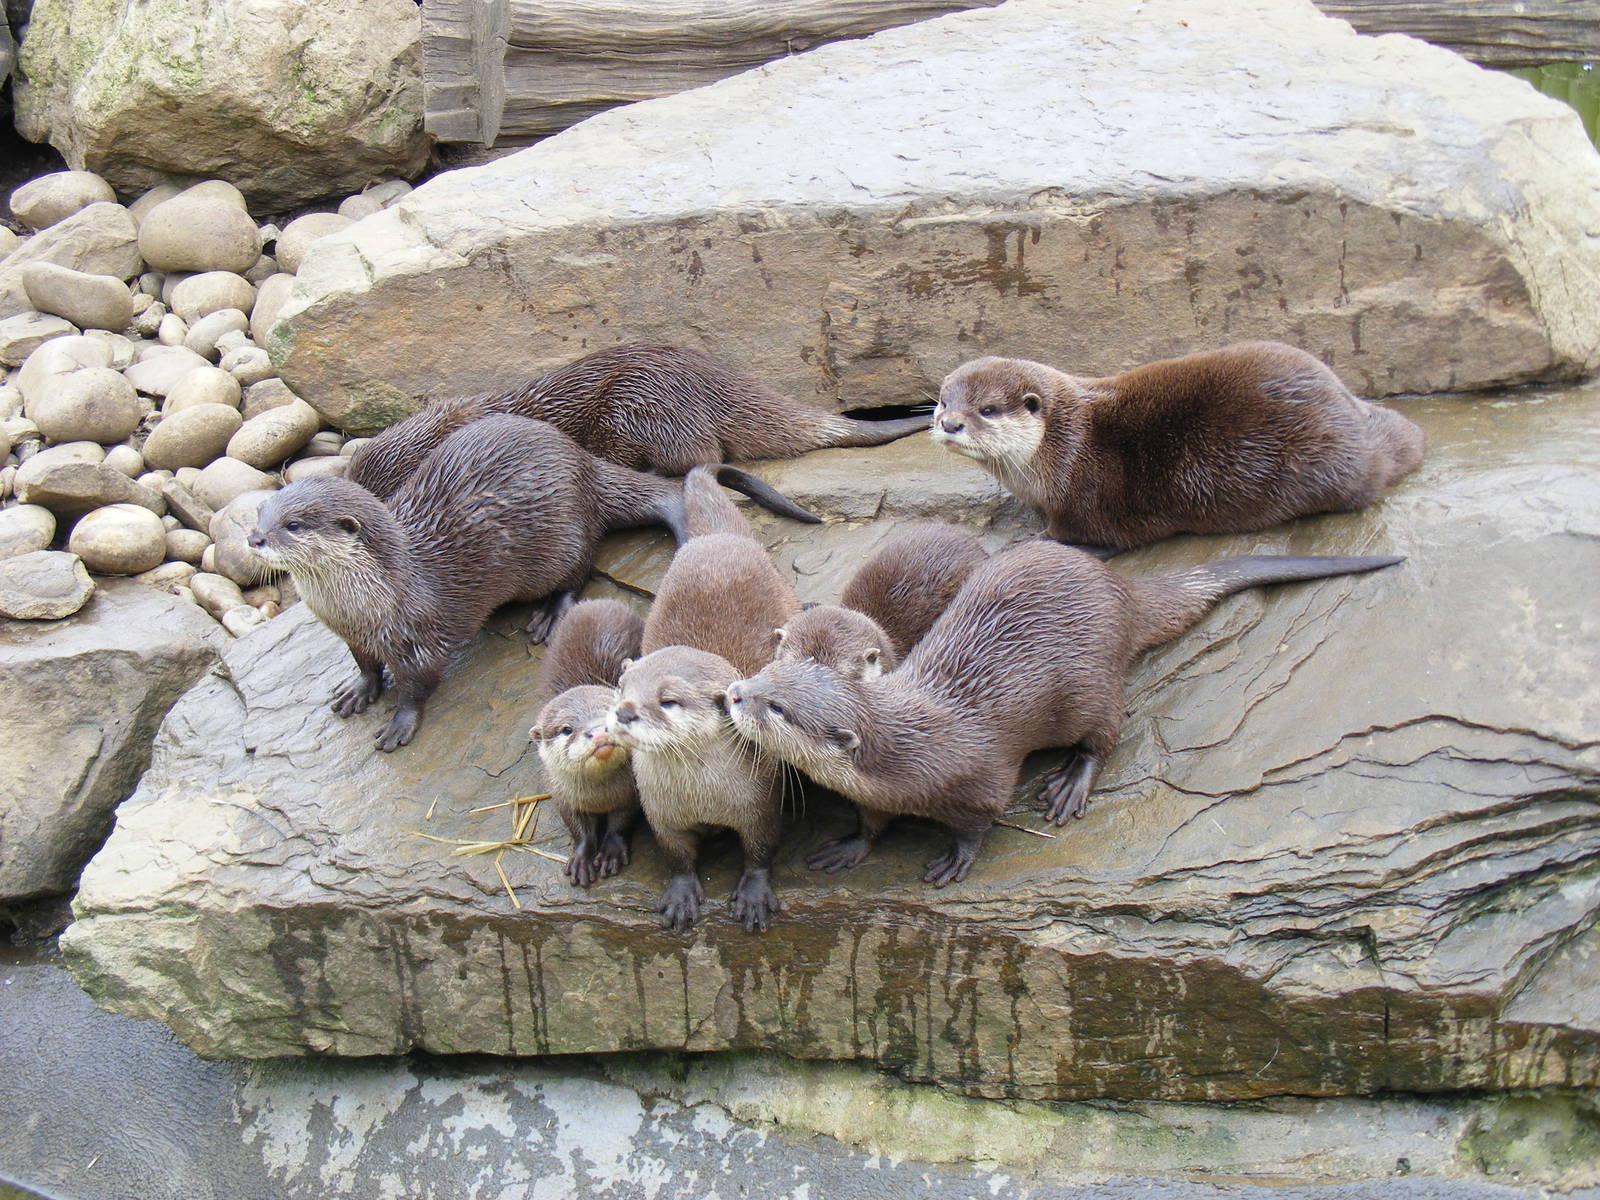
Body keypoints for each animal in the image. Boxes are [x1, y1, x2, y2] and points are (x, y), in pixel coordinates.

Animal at [249, 416, 811, 752]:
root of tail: (583, 465)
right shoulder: (352, 634)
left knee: (579, 566)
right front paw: (358, 690)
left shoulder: (420, 634)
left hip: (561, 536)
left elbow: (418, 682)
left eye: (293, 525)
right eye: (261, 512)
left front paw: (399, 724)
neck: (365, 601)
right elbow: (365, 665)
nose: (254, 538)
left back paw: (549, 614)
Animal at [529, 599, 645, 887]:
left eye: (613, 712)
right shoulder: (563, 796)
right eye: (566, 729)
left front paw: (610, 852)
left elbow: (621, 821)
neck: (600, 796)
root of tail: (595, 602)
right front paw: (582, 859)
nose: (599, 731)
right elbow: (579, 830)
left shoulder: (631, 794)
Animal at [606, 466, 800, 931]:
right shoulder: (661, 815)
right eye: (623, 687)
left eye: (669, 700)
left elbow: (761, 849)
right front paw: (680, 894)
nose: (624, 711)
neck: (703, 796)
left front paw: (754, 895)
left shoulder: (762, 803)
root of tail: (716, 537)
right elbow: (676, 855)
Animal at [727, 540, 1403, 887]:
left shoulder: (980, 777)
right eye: (769, 670)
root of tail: (1120, 590)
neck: (909, 751)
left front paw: (956, 858)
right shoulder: (876, 794)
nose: (732, 692)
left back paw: (1072, 784)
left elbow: (981, 820)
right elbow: (872, 824)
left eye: (776, 704)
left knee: (1109, 733)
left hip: (1090, 686)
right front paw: (849, 847)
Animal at [934, 342, 1424, 553]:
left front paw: (1028, 542)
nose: (949, 423)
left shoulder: (1086, 497)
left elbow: (1074, 533)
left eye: (988, 409)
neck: (1062, 447)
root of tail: (1352, 413)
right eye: (942, 400)